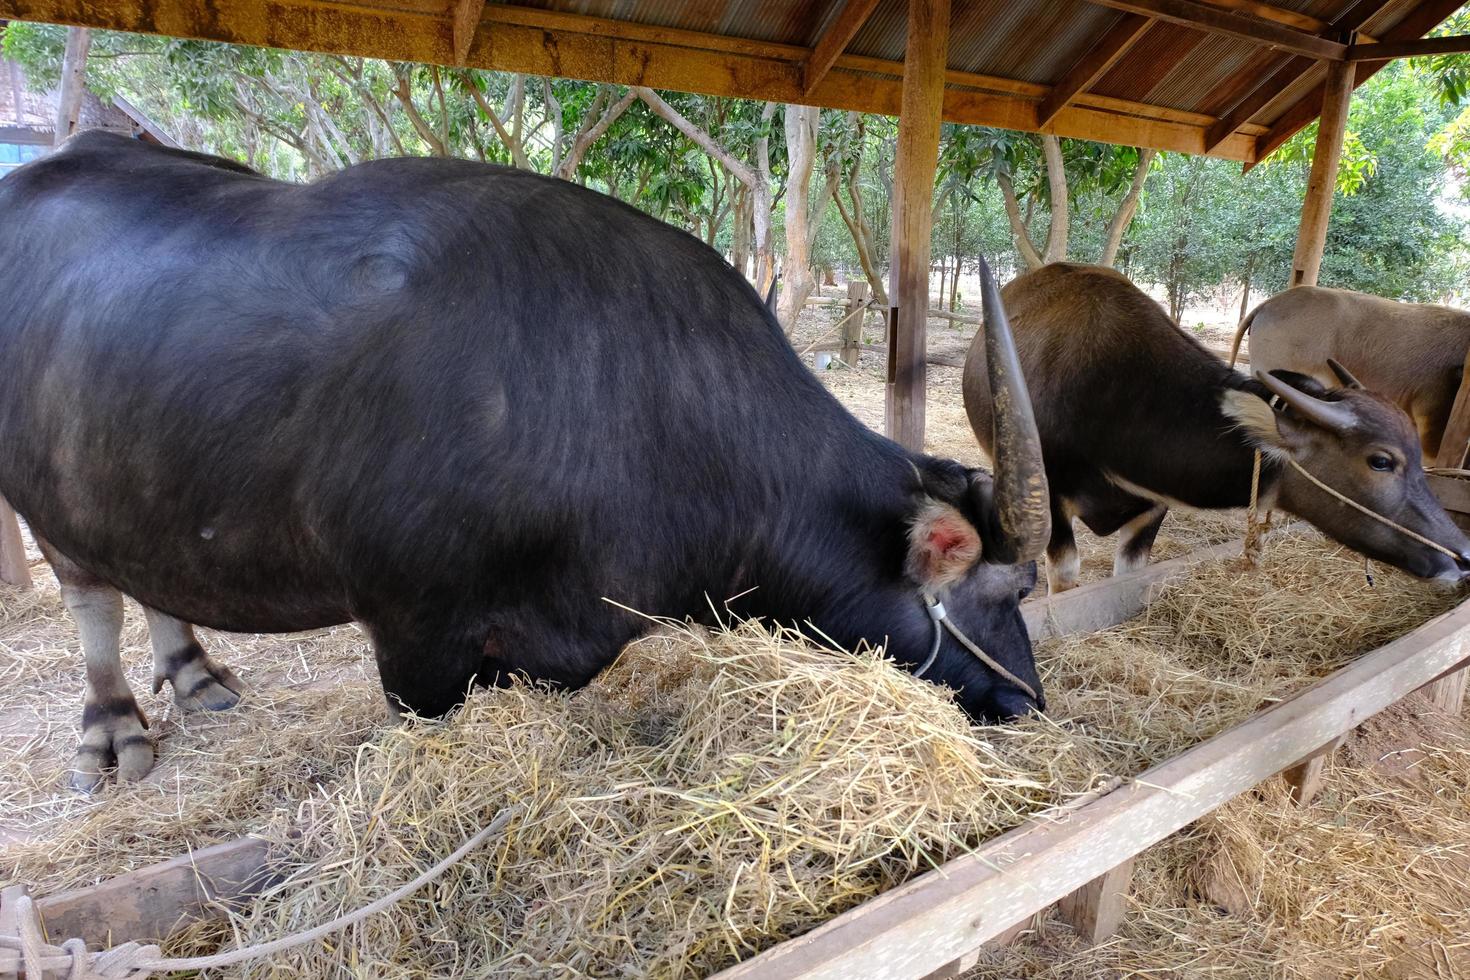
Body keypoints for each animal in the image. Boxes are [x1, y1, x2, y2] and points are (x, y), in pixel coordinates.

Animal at [5, 134, 1052, 787]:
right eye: (1009, 591)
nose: (1029, 702)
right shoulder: (414, 637)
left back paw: (195, 675)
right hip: (42, 497)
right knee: (89, 590)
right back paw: (112, 728)